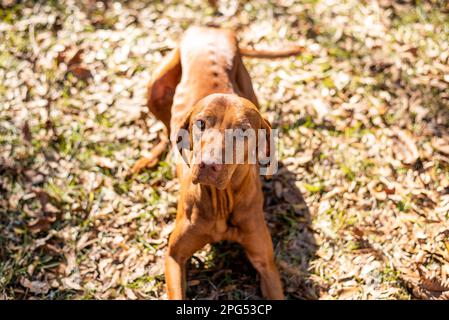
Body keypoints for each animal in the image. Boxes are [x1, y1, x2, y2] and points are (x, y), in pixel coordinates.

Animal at [133, 26, 300, 298]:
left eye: (242, 131)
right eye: (201, 123)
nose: (208, 165)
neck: (222, 200)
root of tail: (212, 29)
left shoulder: (266, 263)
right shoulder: (173, 256)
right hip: (155, 87)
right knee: (165, 128)